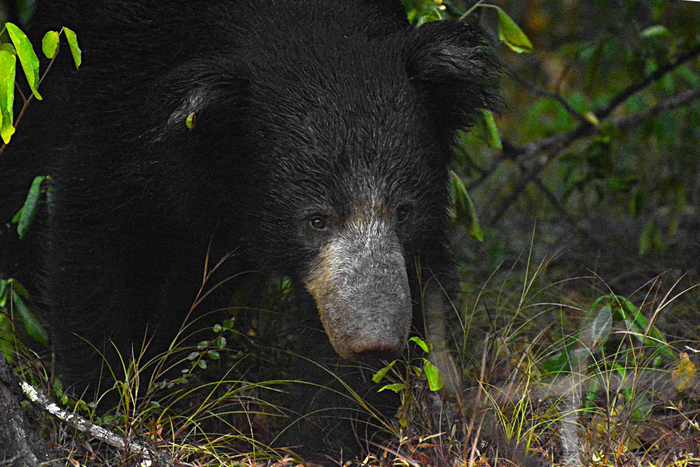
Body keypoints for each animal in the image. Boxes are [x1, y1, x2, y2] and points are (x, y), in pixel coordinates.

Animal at [1, 0, 498, 460]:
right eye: (315, 220)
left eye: (402, 212)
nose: (372, 342)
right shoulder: (115, 104)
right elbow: (94, 238)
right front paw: (101, 403)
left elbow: (415, 283)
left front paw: (313, 440)